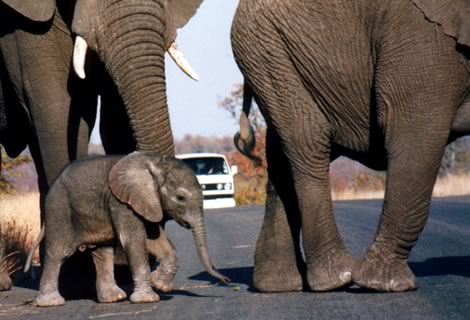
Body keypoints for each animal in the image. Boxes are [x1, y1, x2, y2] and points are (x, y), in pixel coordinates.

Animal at [26, 152, 229, 308]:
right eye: (180, 198)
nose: (226, 281)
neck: (154, 163)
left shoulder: (145, 200)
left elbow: (153, 239)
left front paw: (159, 284)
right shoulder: (121, 201)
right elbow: (134, 240)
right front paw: (147, 299)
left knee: (103, 252)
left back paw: (114, 298)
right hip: (60, 209)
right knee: (58, 252)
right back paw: (51, 303)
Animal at [231, 0, 470, 294]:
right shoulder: (423, 34)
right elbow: (416, 133)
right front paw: (384, 285)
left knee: (281, 157)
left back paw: (278, 285)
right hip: (270, 48)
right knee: (310, 140)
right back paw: (336, 279)